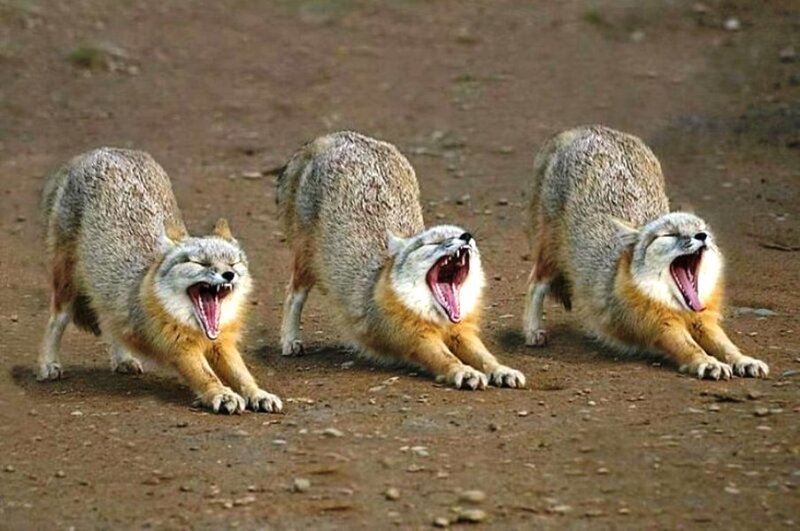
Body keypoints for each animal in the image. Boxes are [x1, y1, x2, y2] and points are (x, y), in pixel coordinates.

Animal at [39, 147, 282, 414]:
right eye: (200, 263)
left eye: (233, 264)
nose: (229, 275)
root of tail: (103, 150)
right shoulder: (179, 348)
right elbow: (206, 375)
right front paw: (222, 393)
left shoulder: (222, 344)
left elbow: (242, 375)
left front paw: (258, 393)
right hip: (66, 286)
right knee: (56, 321)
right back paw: (48, 364)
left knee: (110, 322)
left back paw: (123, 358)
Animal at [276, 131, 525, 390]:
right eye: (433, 242)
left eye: (459, 234)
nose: (467, 236)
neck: (438, 318)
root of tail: (337, 135)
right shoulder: (415, 339)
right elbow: (446, 358)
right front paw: (464, 371)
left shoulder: (462, 333)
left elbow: (485, 356)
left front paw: (501, 370)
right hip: (306, 261)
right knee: (293, 293)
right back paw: (290, 339)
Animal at [523, 125, 769, 380]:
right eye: (669, 234)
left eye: (702, 229)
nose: (702, 237)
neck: (677, 306)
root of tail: (589, 128)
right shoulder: (661, 326)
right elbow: (690, 347)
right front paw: (707, 362)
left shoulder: (704, 321)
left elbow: (726, 345)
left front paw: (743, 360)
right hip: (552, 254)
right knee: (535, 282)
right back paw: (533, 330)